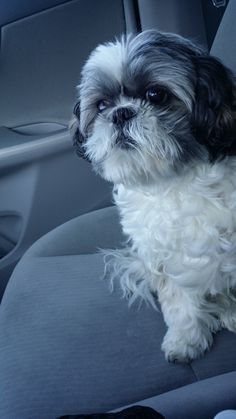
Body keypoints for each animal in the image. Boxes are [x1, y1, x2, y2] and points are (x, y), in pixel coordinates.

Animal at [70, 30, 236, 364]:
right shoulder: (161, 257)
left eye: (156, 95)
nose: (121, 113)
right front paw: (186, 338)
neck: (175, 181)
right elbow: (177, 298)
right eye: (103, 105)